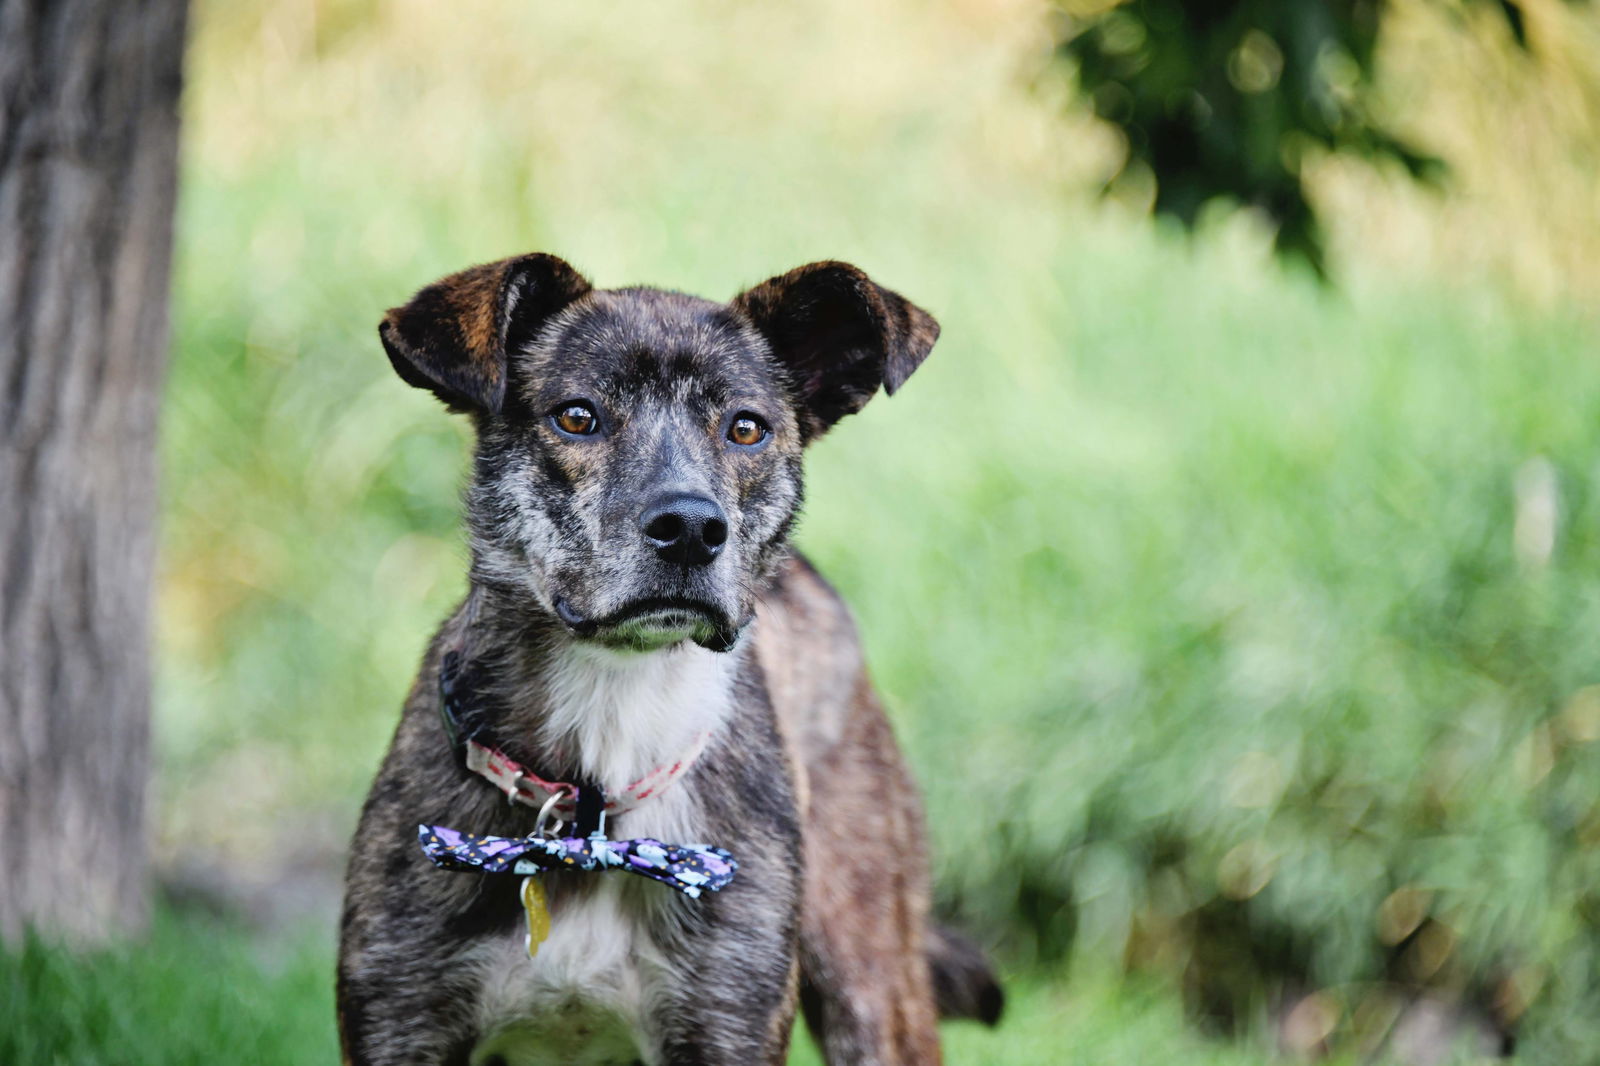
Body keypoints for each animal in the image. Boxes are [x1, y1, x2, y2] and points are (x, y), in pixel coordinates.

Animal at [337, 252, 998, 1056]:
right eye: (577, 416)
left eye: (747, 428)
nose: (690, 528)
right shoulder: (403, 1022)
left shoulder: (726, 1024)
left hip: (872, 979)